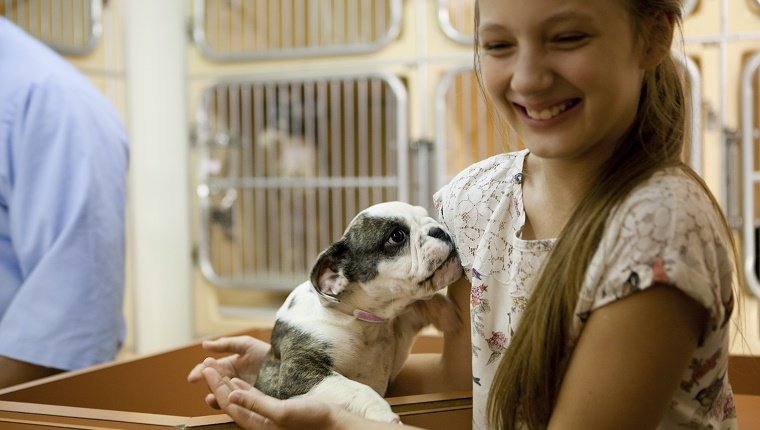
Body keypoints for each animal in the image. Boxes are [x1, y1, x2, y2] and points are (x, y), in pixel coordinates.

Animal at [255, 202, 464, 424]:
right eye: (397, 236)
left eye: (426, 215)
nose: (439, 230)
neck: (360, 320)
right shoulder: (300, 371)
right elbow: (357, 389)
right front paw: (382, 415)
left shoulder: (402, 321)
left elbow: (420, 303)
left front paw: (447, 315)